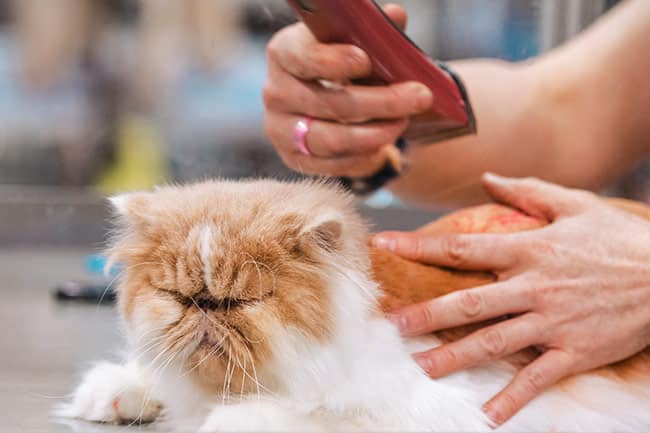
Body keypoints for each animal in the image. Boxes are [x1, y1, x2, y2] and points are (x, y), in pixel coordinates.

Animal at [54, 177, 648, 430]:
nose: (204, 308)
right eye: (178, 296)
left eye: (242, 300)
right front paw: (116, 394)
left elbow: (294, 418)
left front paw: (228, 420)